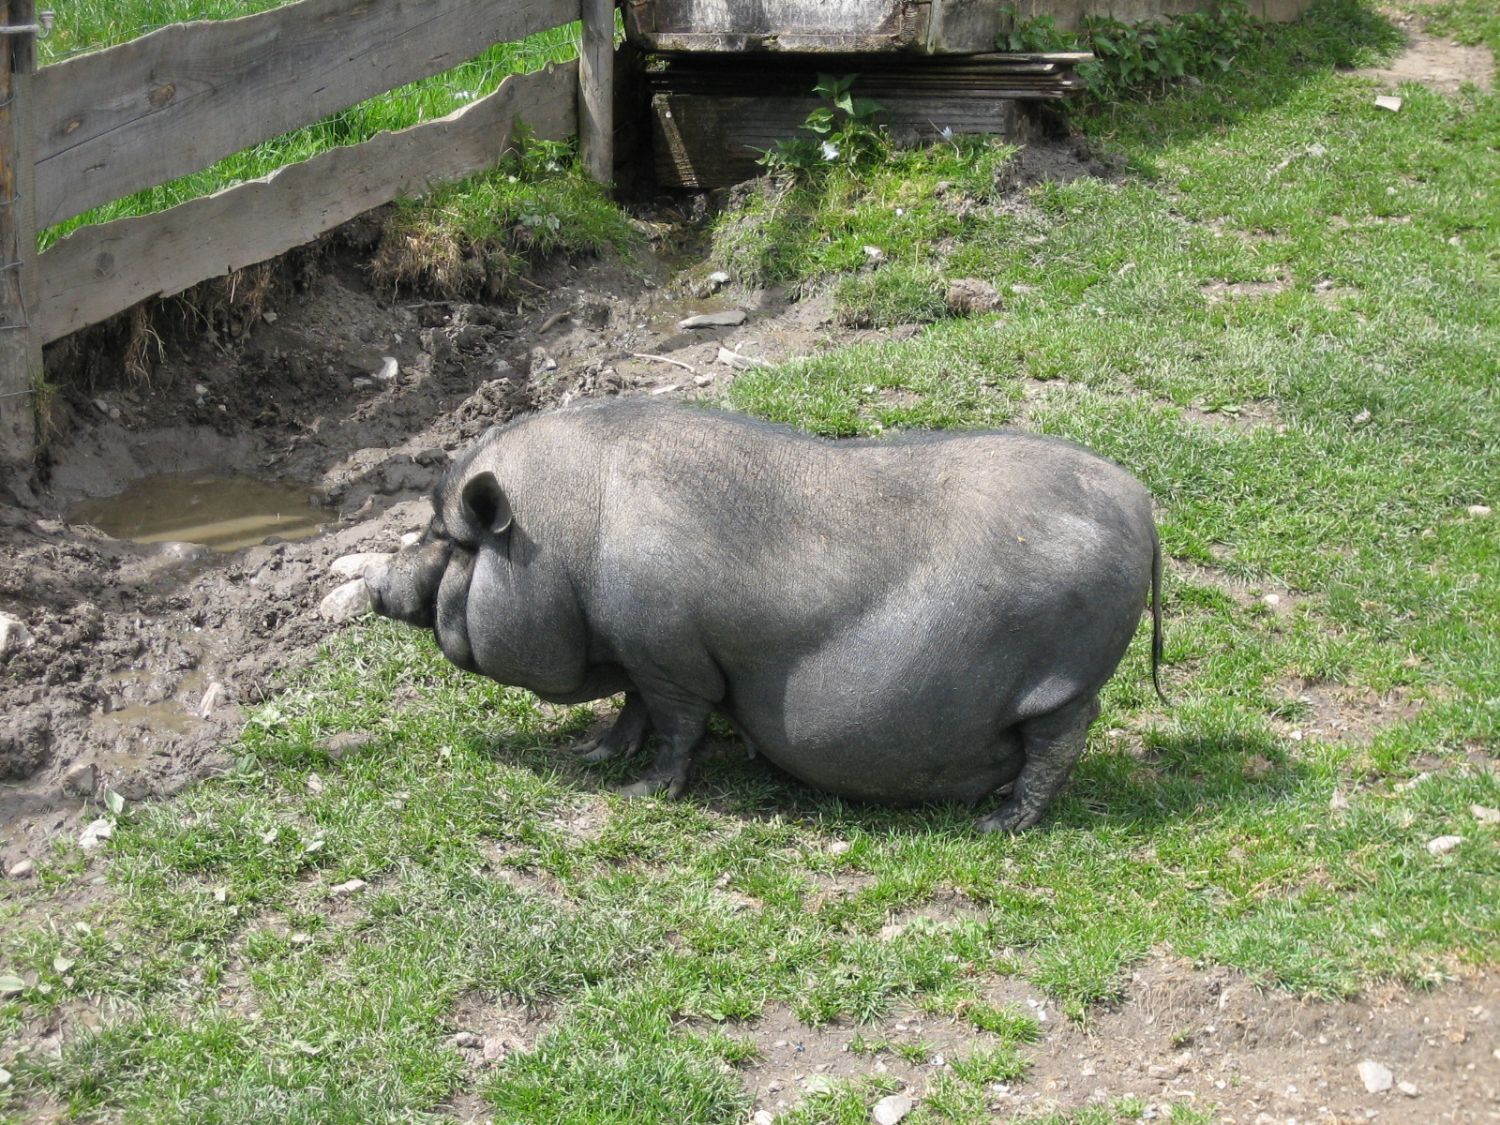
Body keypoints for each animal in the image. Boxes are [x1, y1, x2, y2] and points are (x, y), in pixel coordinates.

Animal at [369, 402, 1164, 834]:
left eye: (447, 538)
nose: (377, 585)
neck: (572, 540)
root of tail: (1142, 505)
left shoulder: (672, 653)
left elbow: (678, 725)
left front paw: (640, 791)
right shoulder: (639, 651)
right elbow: (633, 709)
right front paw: (594, 755)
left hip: (1063, 677)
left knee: (1059, 742)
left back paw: (999, 823)